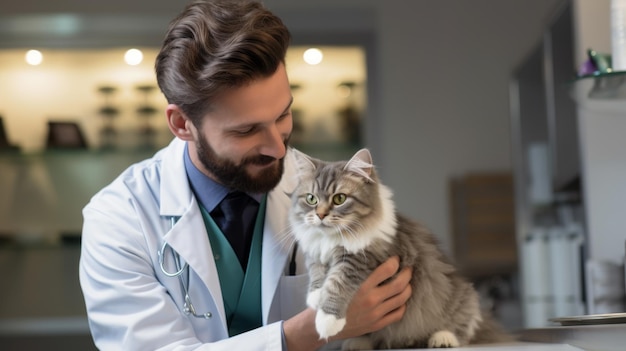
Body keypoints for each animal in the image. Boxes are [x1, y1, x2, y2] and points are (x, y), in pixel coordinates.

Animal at [286, 149, 510, 351]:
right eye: (311, 199)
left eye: (339, 198)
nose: (321, 215)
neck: (330, 239)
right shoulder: (315, 253)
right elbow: (317, 273)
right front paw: (315, 297)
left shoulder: (359, 259)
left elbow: (336, 283)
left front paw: (327, 321)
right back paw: (357, 343)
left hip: (463, 299)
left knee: (461, 329)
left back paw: (443, 339)